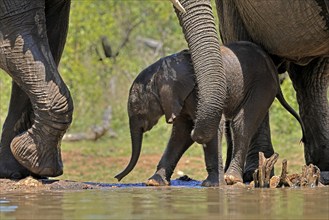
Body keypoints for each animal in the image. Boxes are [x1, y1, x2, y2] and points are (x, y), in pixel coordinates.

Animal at [114, 40, 304, 186]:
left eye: (136, 106)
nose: (117, 178)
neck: (161, 71)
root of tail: (273, 67)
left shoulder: (197, 93)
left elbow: (211, 127)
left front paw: (211, 185)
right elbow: (180, 134)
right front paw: (153, 182)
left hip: (262, 86)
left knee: (240, 124)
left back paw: (230, 178)